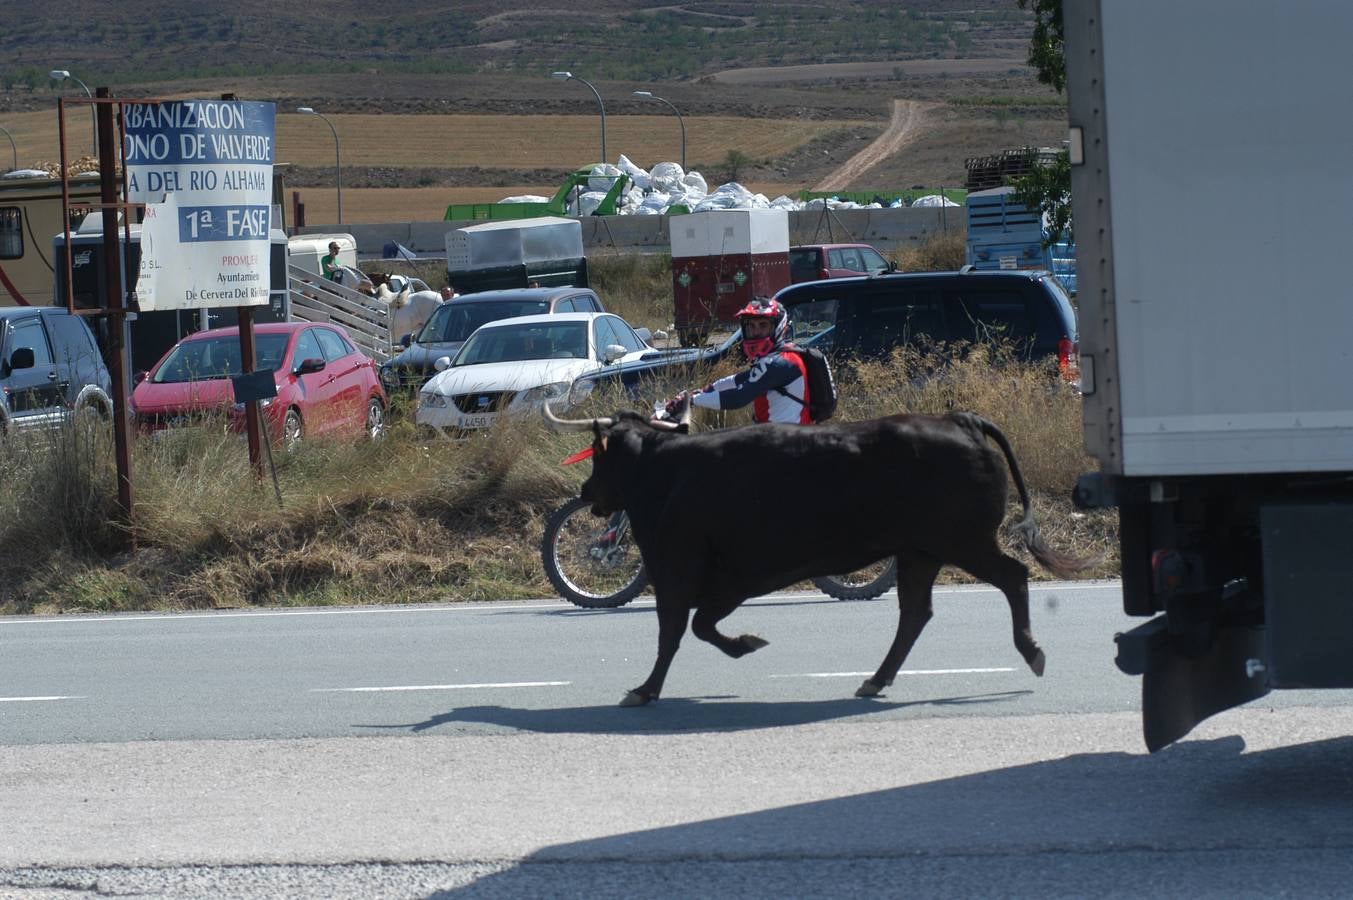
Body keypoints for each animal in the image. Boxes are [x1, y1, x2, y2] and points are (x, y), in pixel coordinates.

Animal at [538, 403, 1087, 703]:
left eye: (603, 456)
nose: (587, 491)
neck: (667, 474)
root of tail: (959, 419)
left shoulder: (681, 571)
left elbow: (675, 632)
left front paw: (646, 689)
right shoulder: (727, 581)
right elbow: (700, 627)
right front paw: (745, 644)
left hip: (963, 542)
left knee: (1012, 576)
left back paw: (1032, 651)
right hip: (920, 553)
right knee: (915, 614)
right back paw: (875, 680)